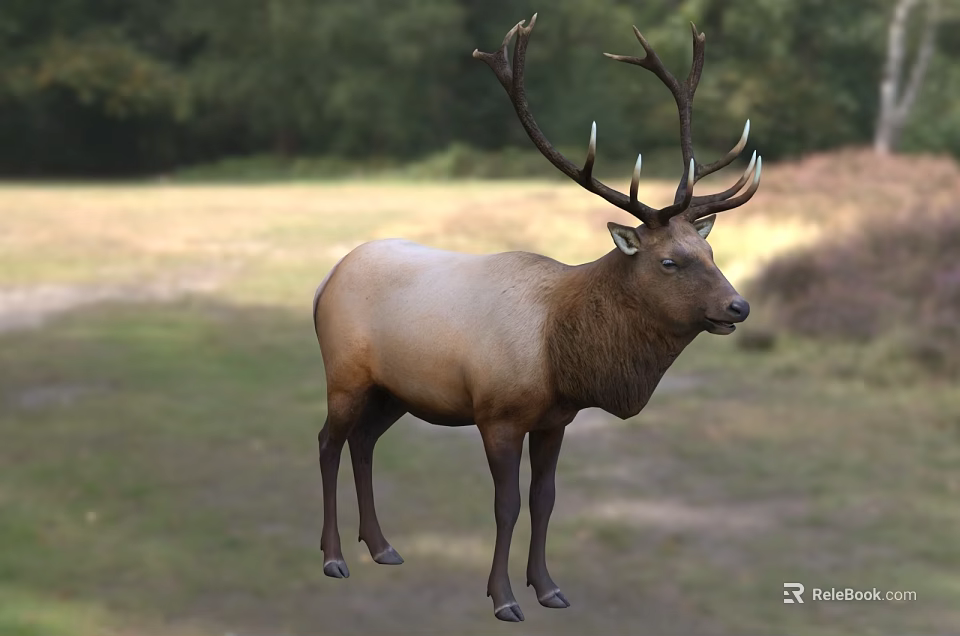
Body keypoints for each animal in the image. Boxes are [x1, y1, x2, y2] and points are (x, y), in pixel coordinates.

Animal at [312, 14, 761, 622]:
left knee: (363, 442)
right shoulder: (497, 414)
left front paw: (548, 587)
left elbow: (544, 501)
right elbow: (506, 506)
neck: (561, 357)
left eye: (710, 251)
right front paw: (503, 598)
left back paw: (382, 546)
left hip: (394, 390)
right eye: (670, 261)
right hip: (344, 374)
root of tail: (325, 281)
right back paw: (334, 556)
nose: (739, 306)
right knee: (327, 443)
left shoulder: (555, 419)